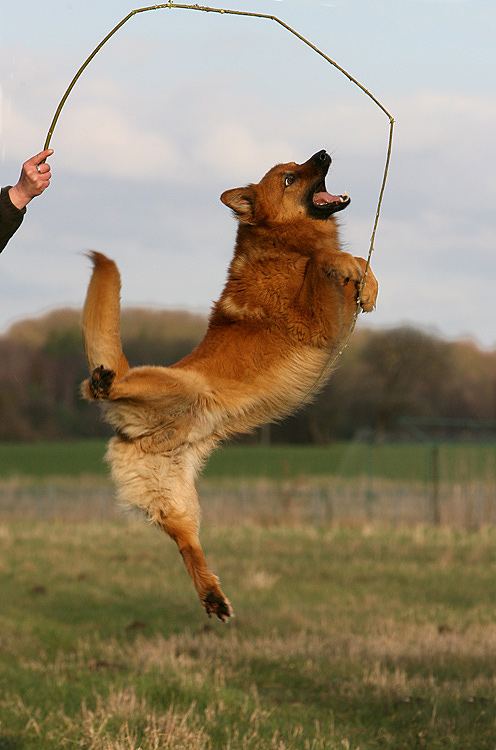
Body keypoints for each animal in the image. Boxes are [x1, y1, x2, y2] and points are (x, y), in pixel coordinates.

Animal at [81, 150, 378, 620]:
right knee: (102, 388)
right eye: (290, 178)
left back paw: (212, 596)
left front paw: (369, 286)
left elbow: (353, 264)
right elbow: (326, 260)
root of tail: (133, 431)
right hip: (179, 387)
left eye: (300, 164)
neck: (282, 247)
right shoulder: (316, 322)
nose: (325, 153)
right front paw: (344, 265)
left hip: (178, 500)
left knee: (187, 545)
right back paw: (101, 380)